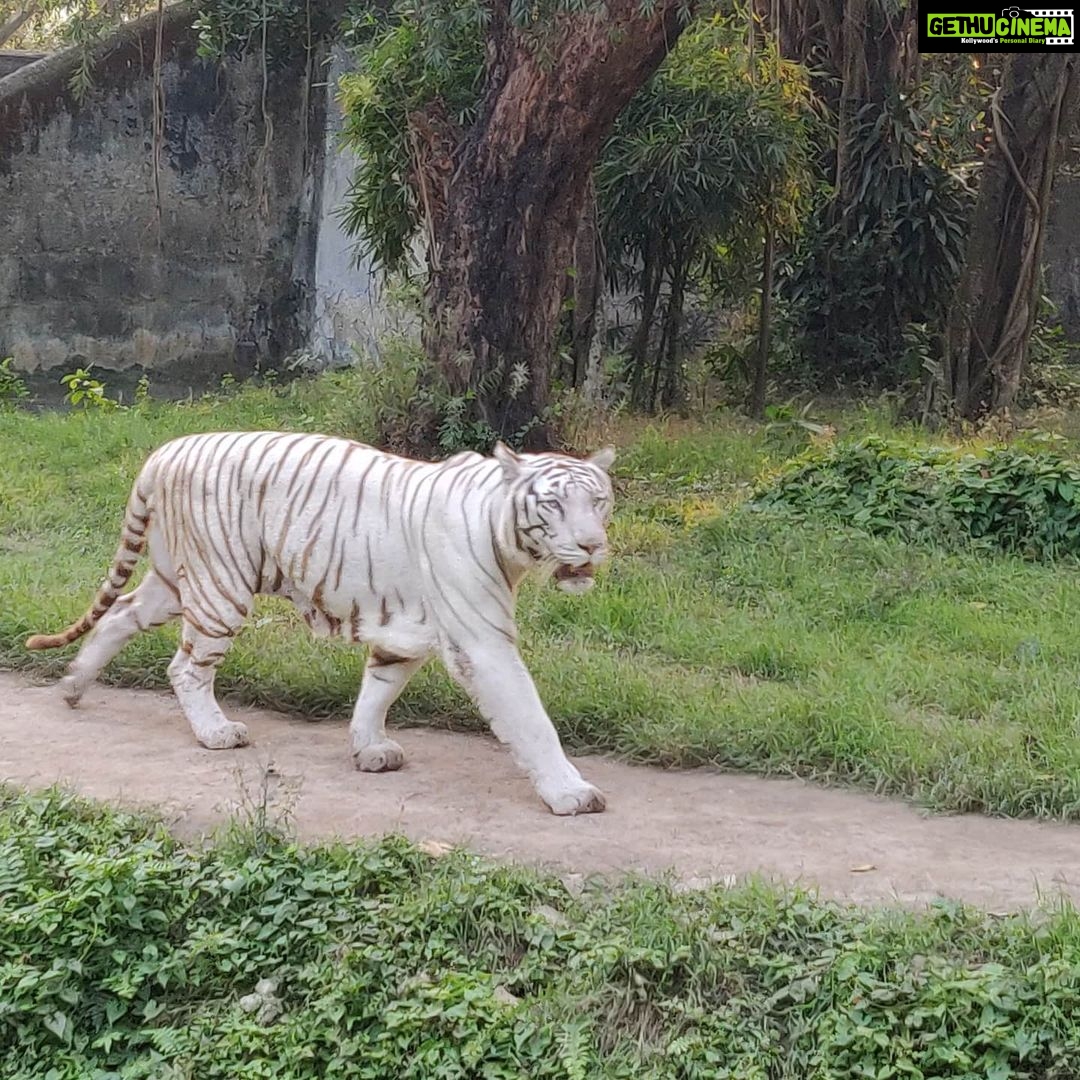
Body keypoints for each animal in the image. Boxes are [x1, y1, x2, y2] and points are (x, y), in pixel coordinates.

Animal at [26, 432, 616, 815]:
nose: (592, 545)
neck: (507, 538)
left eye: (599, 500)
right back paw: (216, 732)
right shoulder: (484, 643)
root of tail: (162, 453)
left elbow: (378, 690)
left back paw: (74, 685)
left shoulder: (405, 632)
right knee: (185, 667)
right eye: (553, 505)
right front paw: (570, 793)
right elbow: (531, 719)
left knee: (122, 611)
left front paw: (369, 748)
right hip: (222, 585)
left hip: (174, 580)